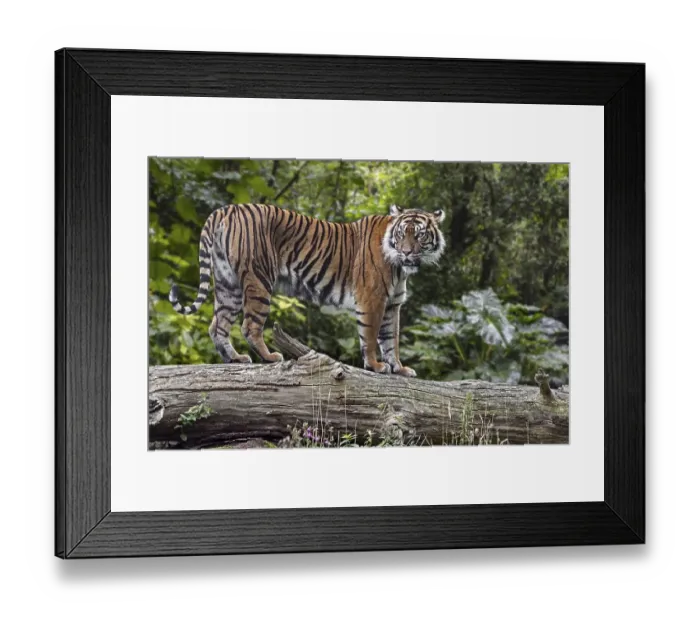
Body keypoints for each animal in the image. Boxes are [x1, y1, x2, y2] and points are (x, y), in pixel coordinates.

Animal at [168, 203, 446, 377]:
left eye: (419, 235)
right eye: (401, 234)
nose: (406, 252)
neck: (401, 269)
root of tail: (228, 208)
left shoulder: (392, 305)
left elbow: (391, 340)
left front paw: (399, 368)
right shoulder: (372, 300)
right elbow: (370, 337)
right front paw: (376, 366)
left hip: (229, 284)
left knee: (217, 325)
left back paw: (235, 359)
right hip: (259, 280)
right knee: (249, 326)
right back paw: (270, 357)